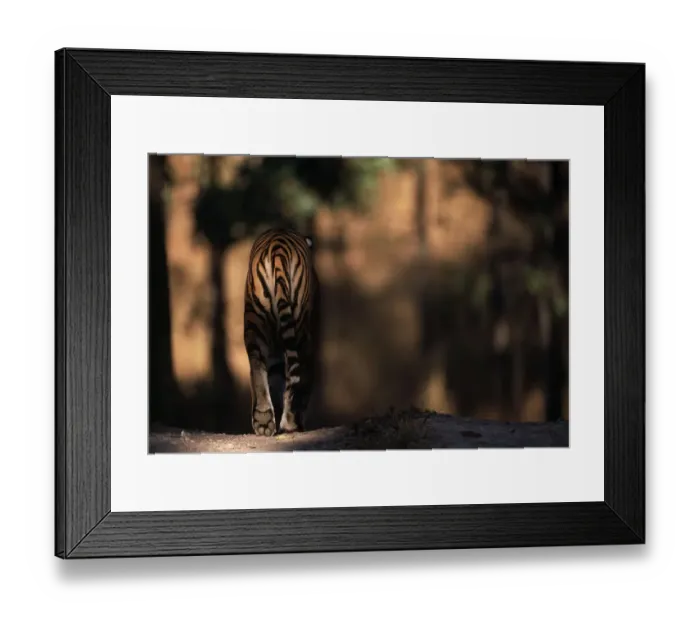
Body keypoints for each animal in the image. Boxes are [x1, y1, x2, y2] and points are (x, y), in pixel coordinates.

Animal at [243, 227, 321, 436]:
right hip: (299, 328)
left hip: (255, 322)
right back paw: (290, 422)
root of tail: (278, 248)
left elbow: (275, 378)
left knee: (257, 365)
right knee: (295, 374)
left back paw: (263, 421)